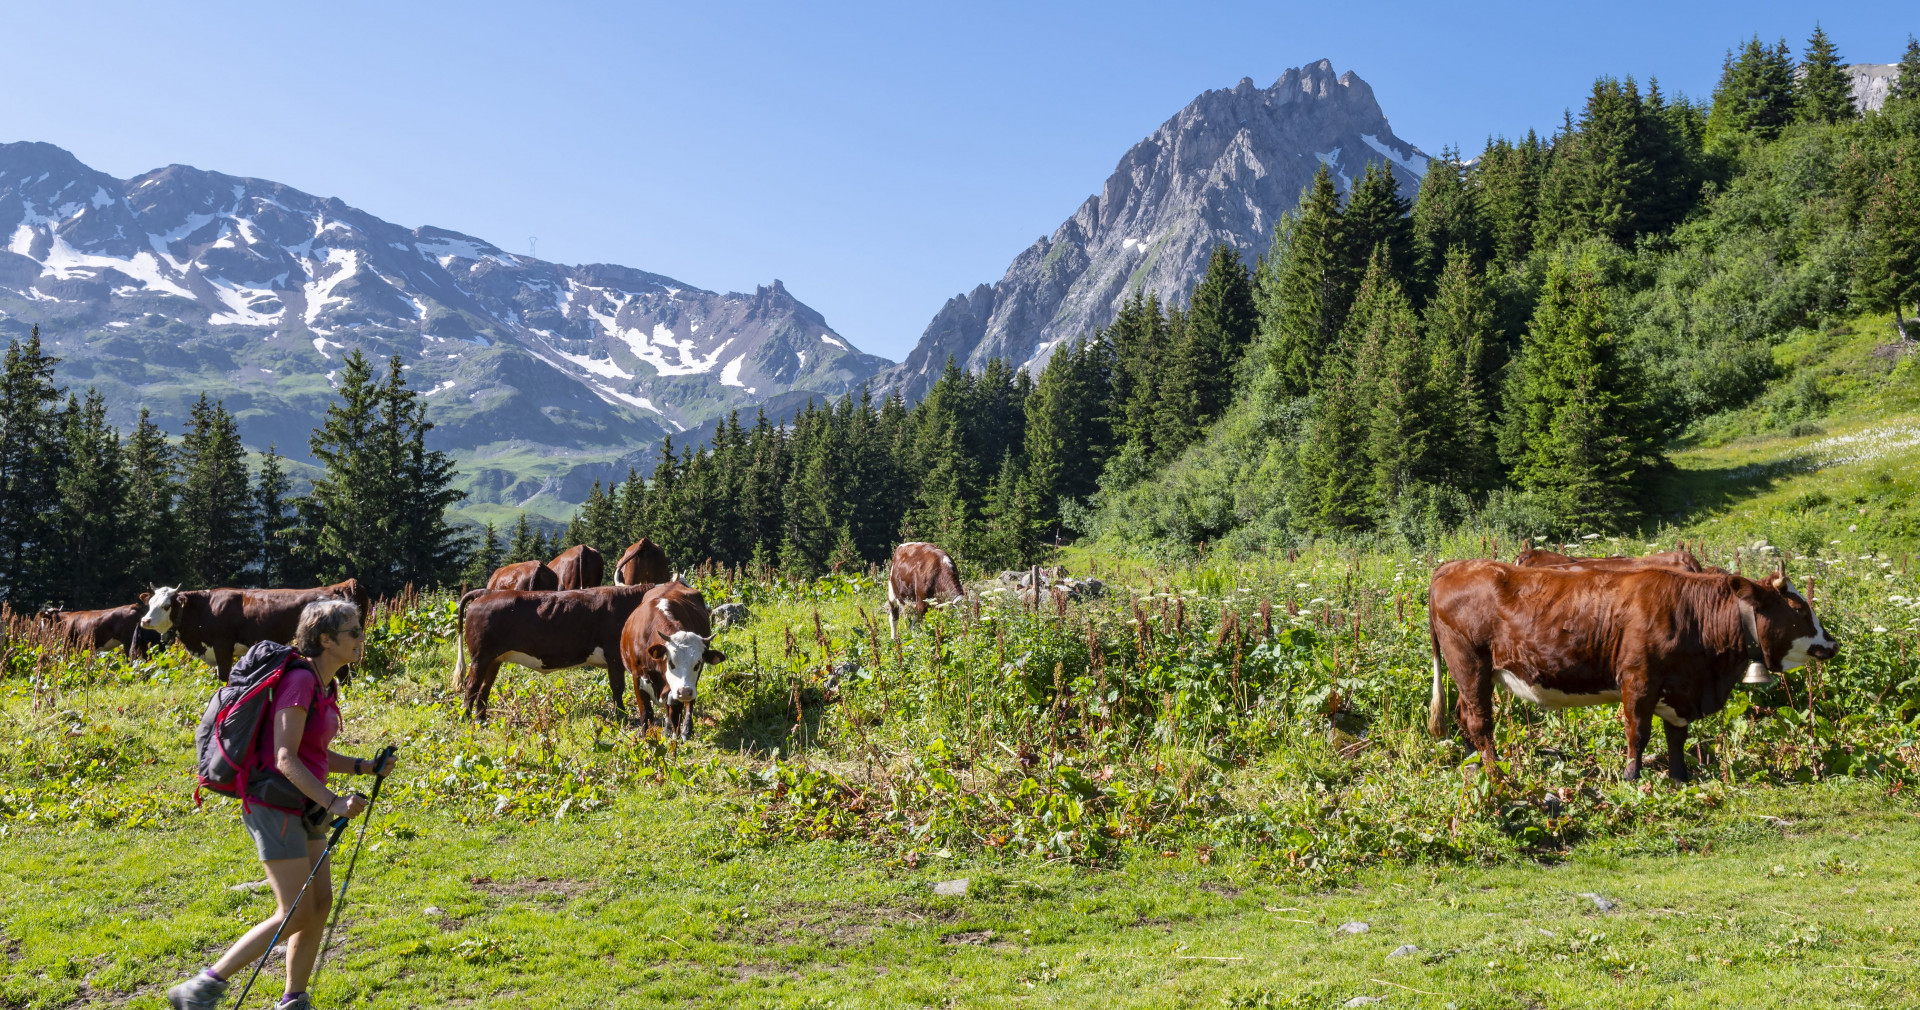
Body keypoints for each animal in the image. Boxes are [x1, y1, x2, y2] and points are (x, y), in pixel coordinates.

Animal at [140, 583, 368, 683]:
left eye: (166, 605)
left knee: (343, 675)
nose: (145, 620)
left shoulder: (223, 646)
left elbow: (224, 677)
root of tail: (338, 586)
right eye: (150, 604)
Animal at [451, 587, 656, 721]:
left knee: (484, 687)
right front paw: (621, 717)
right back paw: (466, 718)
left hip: (494, 659)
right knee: (471, 685)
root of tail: (487, 592)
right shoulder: (614, 655)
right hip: (480, 656)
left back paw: (481, 720)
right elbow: (617, 687)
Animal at [622, 583, 725, 741]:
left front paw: (675, 735)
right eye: (671, 663)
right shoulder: (637, 676)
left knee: (688, 704)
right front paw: (646, 739)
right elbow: (646, 712)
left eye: (697, 663)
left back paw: (686, 730)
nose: (685, 692)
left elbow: (676, 710)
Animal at [1436, 560, 1835, 783]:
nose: (1832, 643)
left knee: (1463, 715)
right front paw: (1631, 776)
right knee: (1480, 721)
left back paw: (1472, 765)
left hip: (1469, 674)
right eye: (1800, 610)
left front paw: (1679, 777)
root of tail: (1454, 565)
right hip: (1471, 665)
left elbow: (1676, 737)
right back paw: (1494, 773)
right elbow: (1638, 733)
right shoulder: (1638, 680)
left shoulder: (1679, 689)